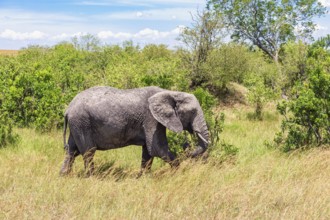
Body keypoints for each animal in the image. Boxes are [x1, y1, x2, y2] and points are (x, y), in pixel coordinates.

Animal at [60, 86, 209, 175]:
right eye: (193, 112)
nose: (188, 147)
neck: (170, 92)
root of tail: (68, 109)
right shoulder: (151, 119)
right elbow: (157, 148)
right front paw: (176, 174)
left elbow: (148, 152)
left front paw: (143, 177)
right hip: (82, 122)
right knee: (88, 152)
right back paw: (91, 177)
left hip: (77, 124)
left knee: (71, 151)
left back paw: (64, 176)